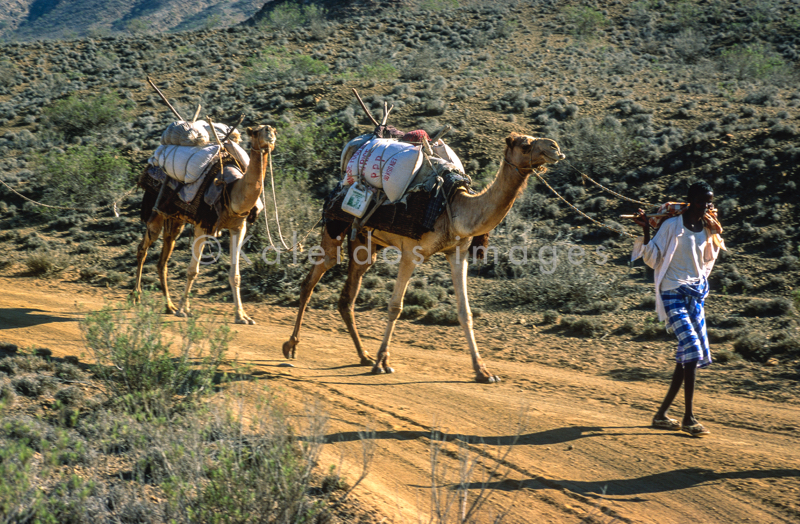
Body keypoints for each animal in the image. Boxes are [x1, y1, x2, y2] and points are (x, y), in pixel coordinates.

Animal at [133, 125, 276, 326]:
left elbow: (235, 275)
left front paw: (242, 317)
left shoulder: (238, 227)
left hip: (175, 219)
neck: (232, 191)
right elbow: (193, 270)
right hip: (156, 210)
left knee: (163, 260)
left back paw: (169, 306)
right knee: (143, 248)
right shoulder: (203, 224)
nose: (269, 132)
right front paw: (184, 310)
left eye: (273, 130)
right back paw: (136, 297)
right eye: (256, 131)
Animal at [284, 133, 564, 382]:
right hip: (335, 225)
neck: (454, 208)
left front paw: (483, 372)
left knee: (347, 297)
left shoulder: (457, 253)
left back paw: (363, 355)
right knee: (313, 277)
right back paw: (292, 346)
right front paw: (382, 363)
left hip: (365, 241)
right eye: (526, 144)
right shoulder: (411, 253)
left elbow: (465, 312)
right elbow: (395, 307)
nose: (555, 147)